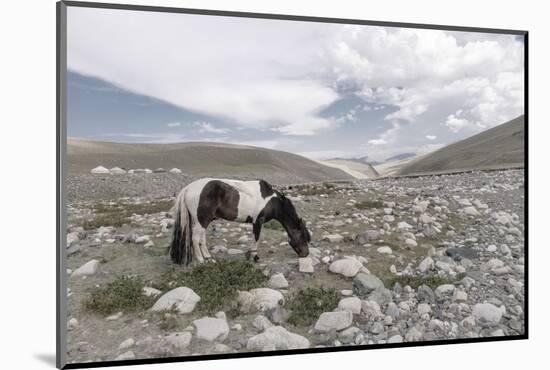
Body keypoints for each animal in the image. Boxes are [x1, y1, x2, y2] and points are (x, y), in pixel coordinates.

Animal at [169, 178, 310, 264]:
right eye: (303, 236)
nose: (306, 254)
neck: (272, 200)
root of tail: (188, 188)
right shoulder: (258, 221)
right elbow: (257, 238)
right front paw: (254, 256)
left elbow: (255, 238)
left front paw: (250, 255)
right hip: (201, 221)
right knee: (195, 239)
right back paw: (201, 260)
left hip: (203, 222)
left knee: (201, 240)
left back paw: (209, 258)